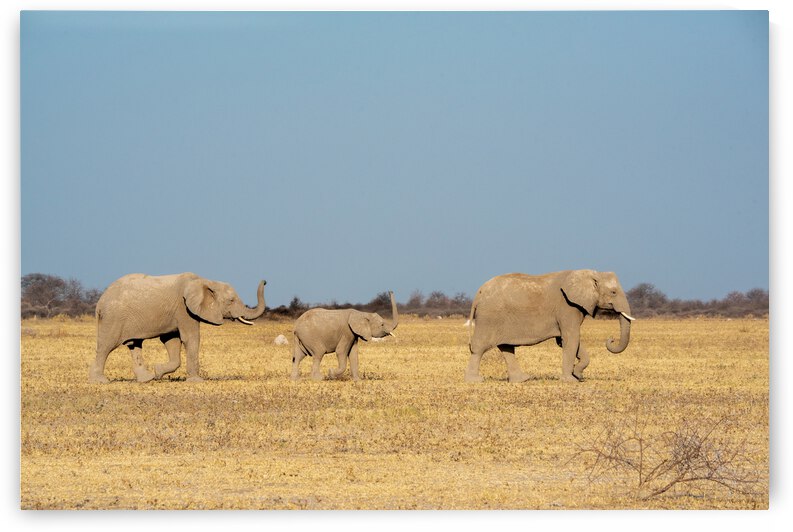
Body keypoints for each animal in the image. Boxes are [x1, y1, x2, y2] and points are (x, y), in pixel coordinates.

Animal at [89, 272, 266, 384]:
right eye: (231, 301)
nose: (265, 280)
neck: (205, 281)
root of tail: (99, 303)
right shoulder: (184, 309)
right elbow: (191, 338)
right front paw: (196, 381)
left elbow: (171, 341)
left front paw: (158, 372)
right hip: (114, 318)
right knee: (106, 346)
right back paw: (100, 381)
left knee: (134, 345)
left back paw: (146, 379)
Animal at [465, 270, 634, 383]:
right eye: (613, 292)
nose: (611, 339)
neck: (591, 274)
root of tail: (479, 292)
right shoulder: (567, 306)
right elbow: (571, 338)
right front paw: (570, 380)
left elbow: (567, 340)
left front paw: (578, 375)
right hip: (489, 316)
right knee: (479, 347)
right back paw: (475, 380)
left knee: (506, 347)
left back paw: (522, 379)